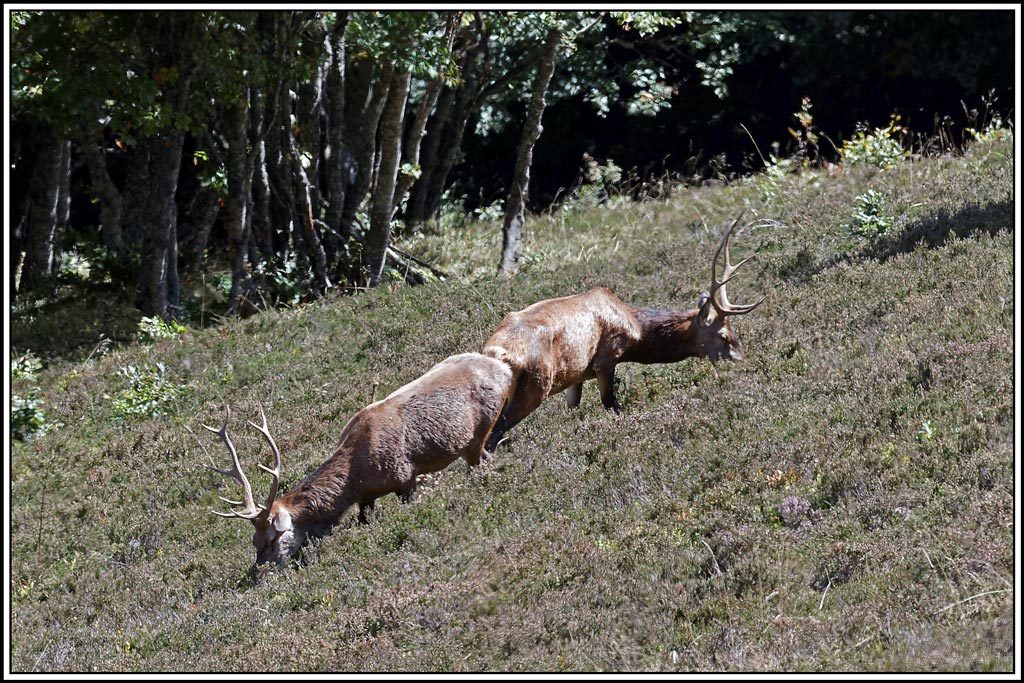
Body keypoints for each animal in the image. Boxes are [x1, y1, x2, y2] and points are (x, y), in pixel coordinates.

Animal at [202, 352, 513, 566]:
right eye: (253, 541)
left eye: (272, 539)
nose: (258, 571)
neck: (357, 475)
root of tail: (504, 368)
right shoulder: (366, 497)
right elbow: (364, 519)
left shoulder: (406, 477)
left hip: (479, 432)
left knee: (482, 461)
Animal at [482, 213, 767, 451]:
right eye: (723, 336)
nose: (742, 363)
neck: (635, 330)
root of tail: (497, 352)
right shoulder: (606, 359)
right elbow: (613, 407)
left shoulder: (576, 375)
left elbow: (575, 408)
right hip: (536, 384)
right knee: (493, 436)